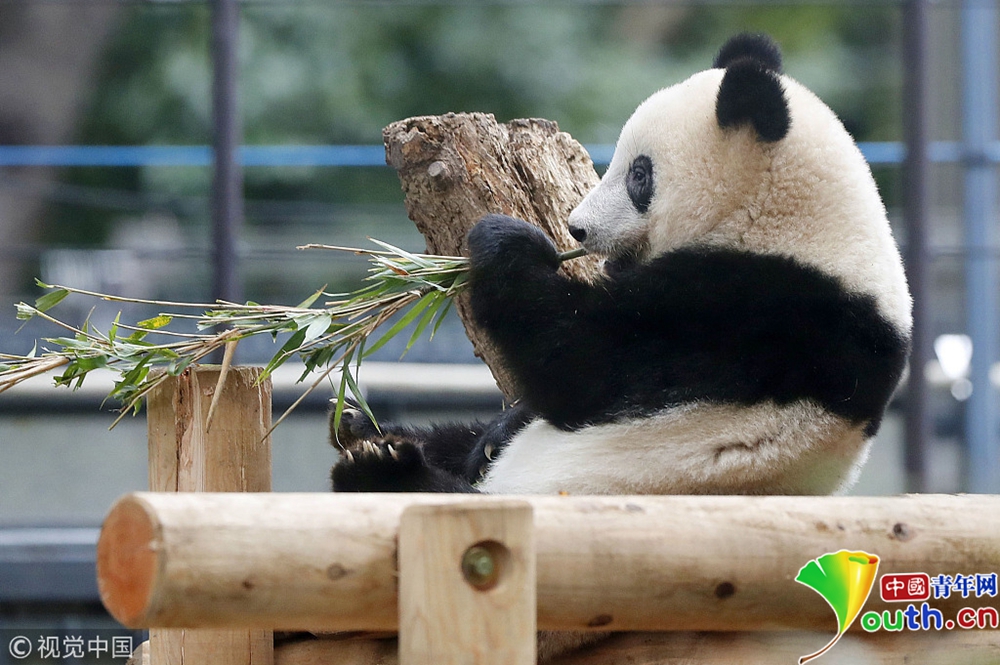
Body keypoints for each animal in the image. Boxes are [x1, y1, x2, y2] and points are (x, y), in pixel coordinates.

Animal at [330, 33, 912, 499]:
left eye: (639, 174)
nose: (577, 230)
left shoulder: (757, 310)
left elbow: (583, 366)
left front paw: (505, 243)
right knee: (454, 440)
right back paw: (366, 431)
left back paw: (383, 467)